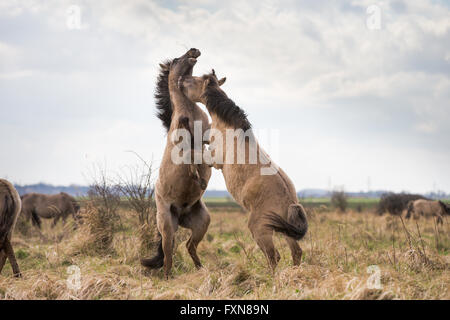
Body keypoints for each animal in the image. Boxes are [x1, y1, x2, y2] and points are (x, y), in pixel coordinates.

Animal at [140, 48, 212, 278]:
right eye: (174, 60)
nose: (194, 50)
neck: (187, 110)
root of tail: (179, 215)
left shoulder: (206, 137)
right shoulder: (184, 147)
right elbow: (191, 156)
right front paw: (199, 178)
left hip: (202, 221)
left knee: (189, 246)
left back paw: (202, 269)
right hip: (167, 225)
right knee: (168, 252)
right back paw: (167, 277)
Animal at [179, 70, 310, 272]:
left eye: (194, 79)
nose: (179, 80)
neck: (228, 127)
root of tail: (291, 204)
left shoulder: (215, 160)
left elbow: (194, 154)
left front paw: (199, 179)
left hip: (259, 229)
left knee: (273, 256)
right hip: (286, 232)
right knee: (295, 252)